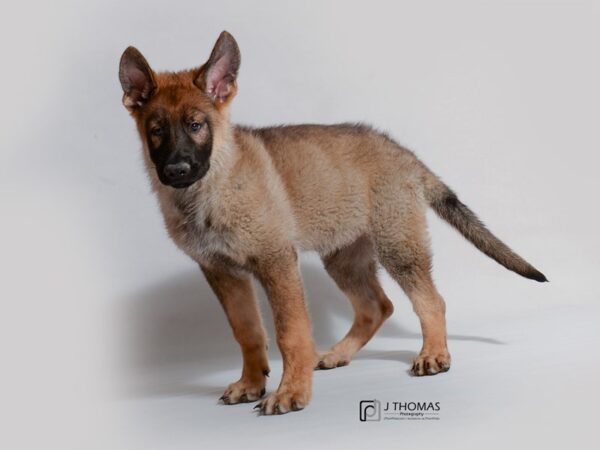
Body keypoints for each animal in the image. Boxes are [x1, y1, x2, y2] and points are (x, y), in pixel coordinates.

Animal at [119, 31, 548, 416]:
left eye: (196, 125)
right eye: (156, 130)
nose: (176, 170)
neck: (213, 185)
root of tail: (403, 153)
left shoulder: (276, 262)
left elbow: (290, 332)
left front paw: (291, 392)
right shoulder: (222, 272)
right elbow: (248, 331)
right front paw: (252, 383)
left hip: (397, 244)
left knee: (430, 300)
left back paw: (433, 354)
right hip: (344, 257)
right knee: (377, 306)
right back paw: (340, 354)